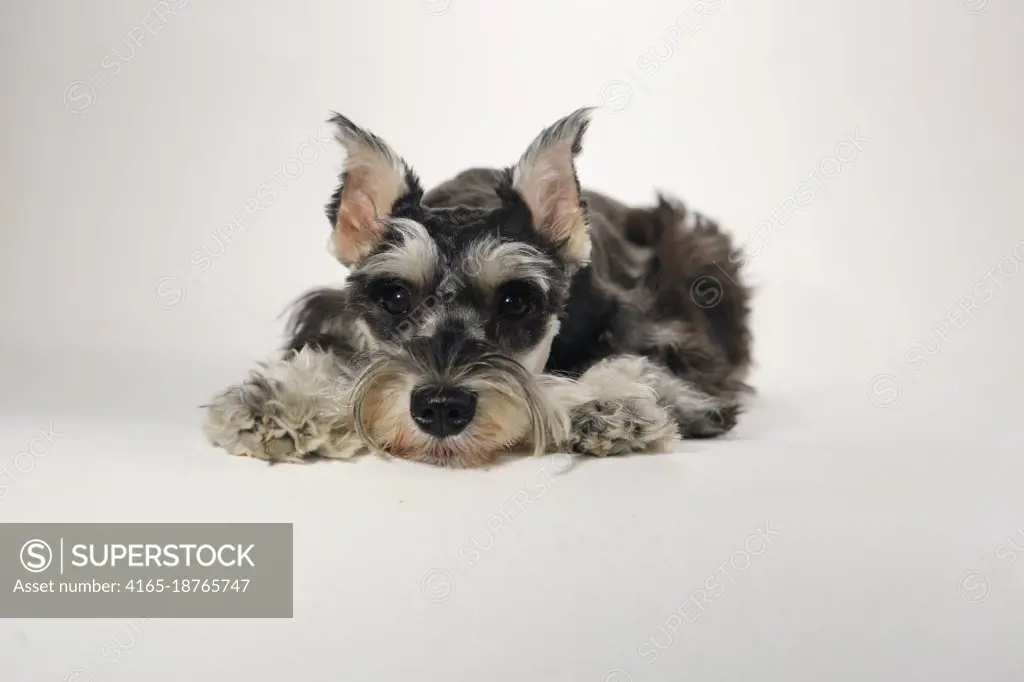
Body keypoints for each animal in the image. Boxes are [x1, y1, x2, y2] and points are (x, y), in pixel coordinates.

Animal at [201, 107, 753, 466]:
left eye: (515, 300)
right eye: (394, 296)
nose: (441, 410)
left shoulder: (659, 330)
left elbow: (641, 363)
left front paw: (608, 403)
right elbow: (339, 355)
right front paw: (282, 403)